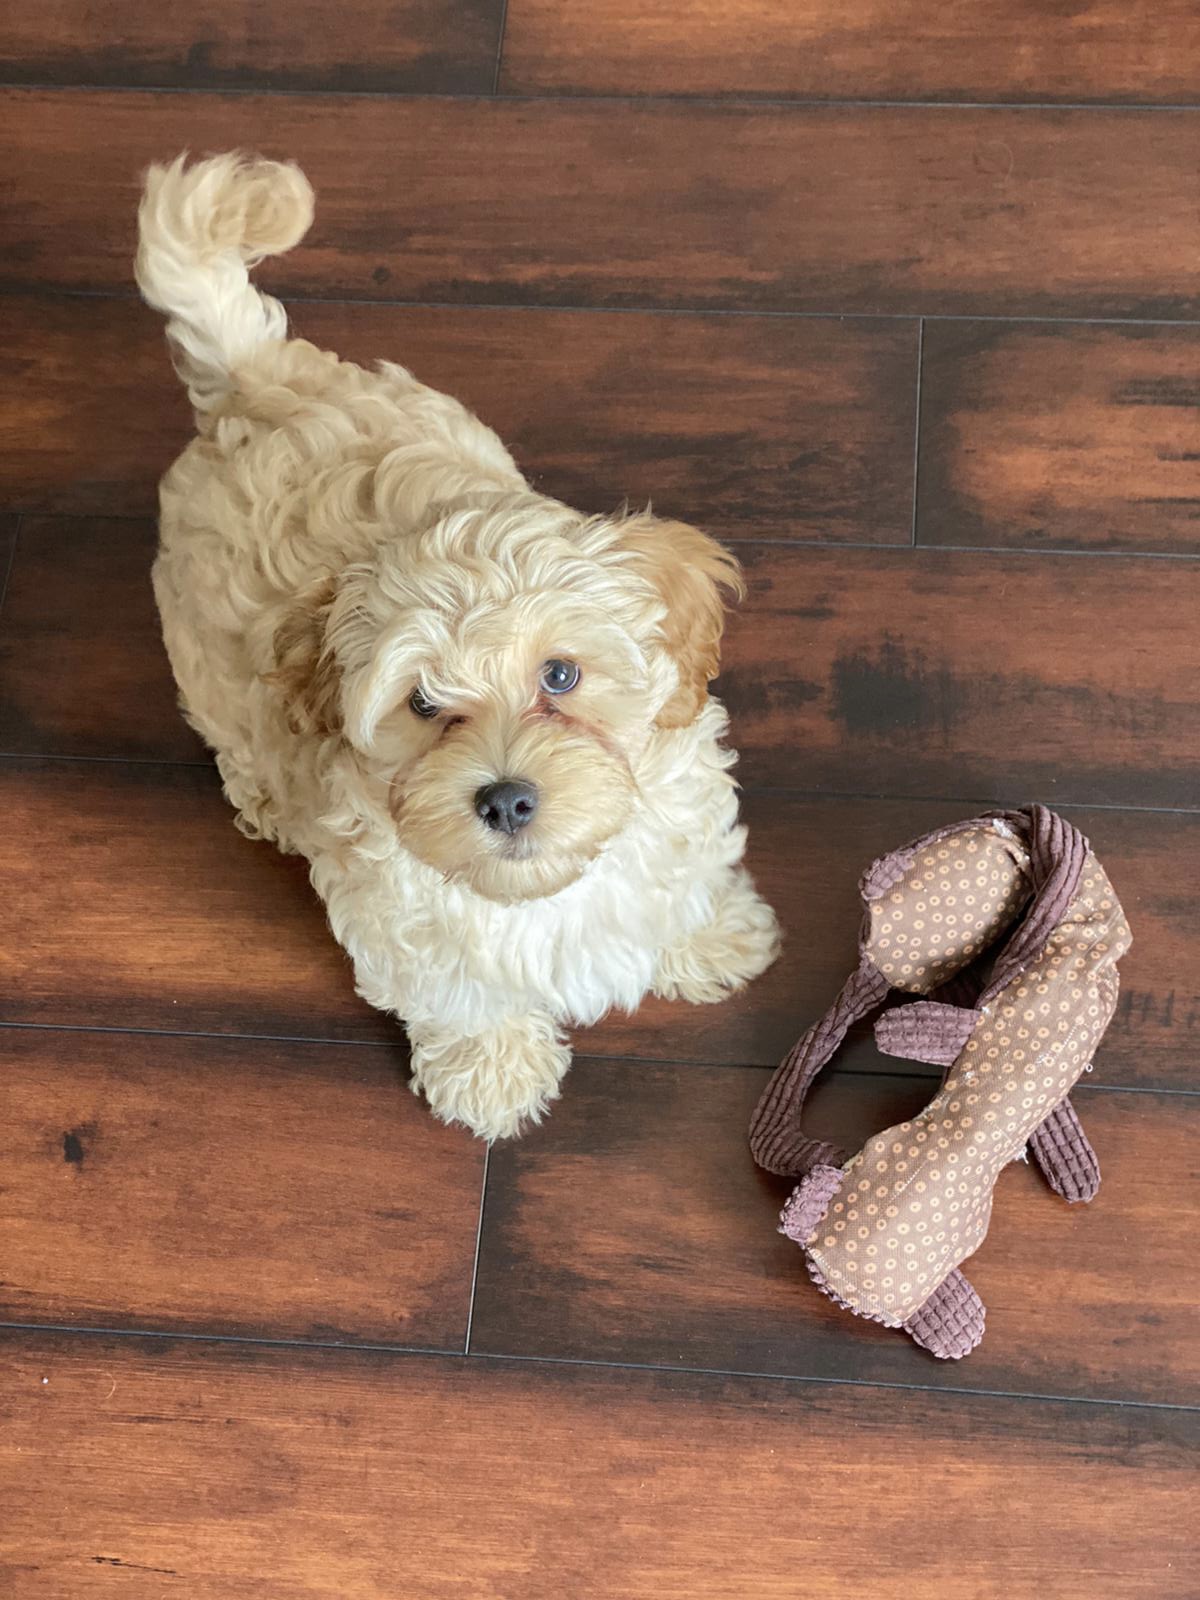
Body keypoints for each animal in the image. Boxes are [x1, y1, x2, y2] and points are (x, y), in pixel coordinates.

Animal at [136, 152, 780, 1140]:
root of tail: (253, 374)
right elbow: (459, 994)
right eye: (423, 705)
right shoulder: (403, 925)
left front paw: (710, 936)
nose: (507, 799)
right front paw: (492, 1074)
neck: (549, 890)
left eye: (561, 673)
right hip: (202, 652)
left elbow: (684, 881)